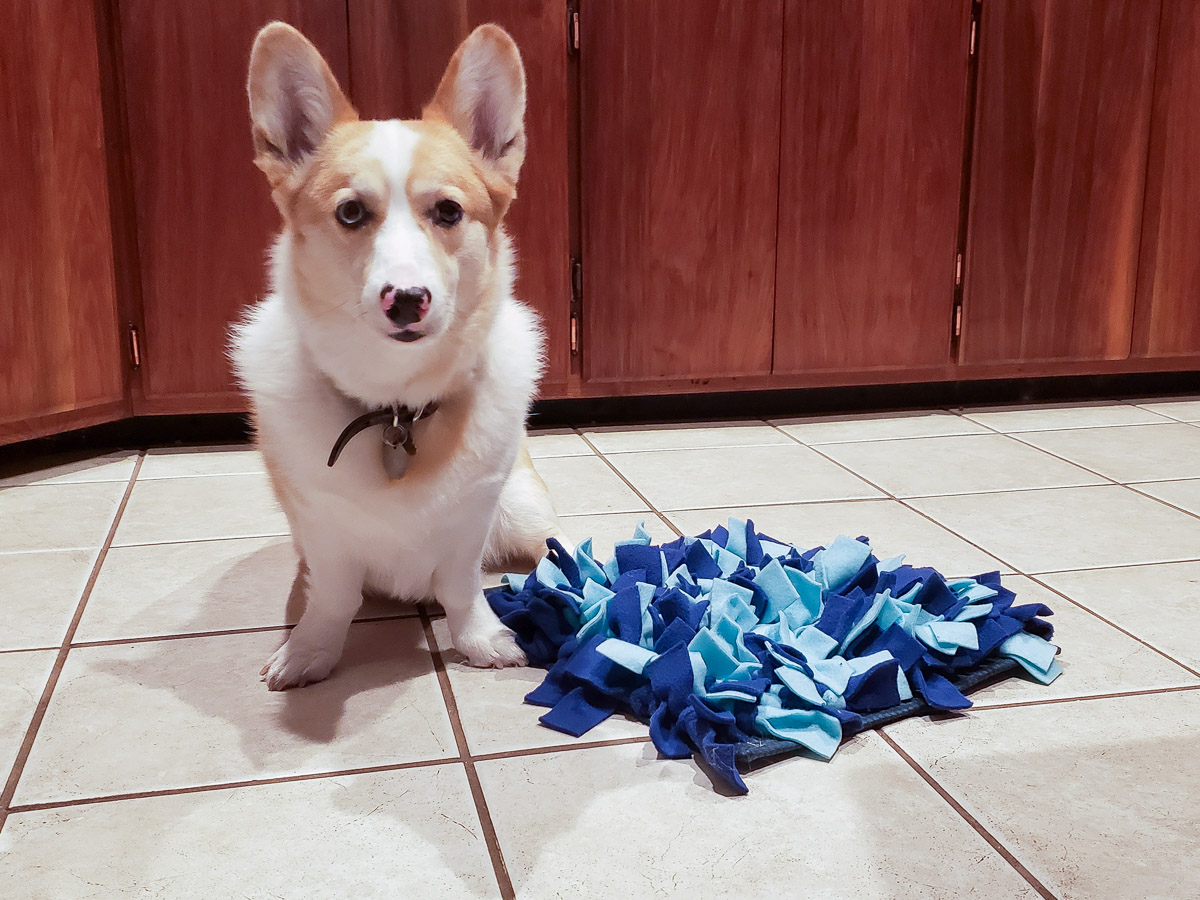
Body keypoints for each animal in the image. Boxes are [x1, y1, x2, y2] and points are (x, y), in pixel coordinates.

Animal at [231, 24, 559, 696]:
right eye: (351, 212)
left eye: (449, 212)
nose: (406, 299)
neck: (396, 410)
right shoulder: (322, 530)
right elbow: (332, 598)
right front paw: (311, 652)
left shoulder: (471, 520)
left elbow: (462, 588)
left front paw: (481, 640)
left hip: (522, 508)